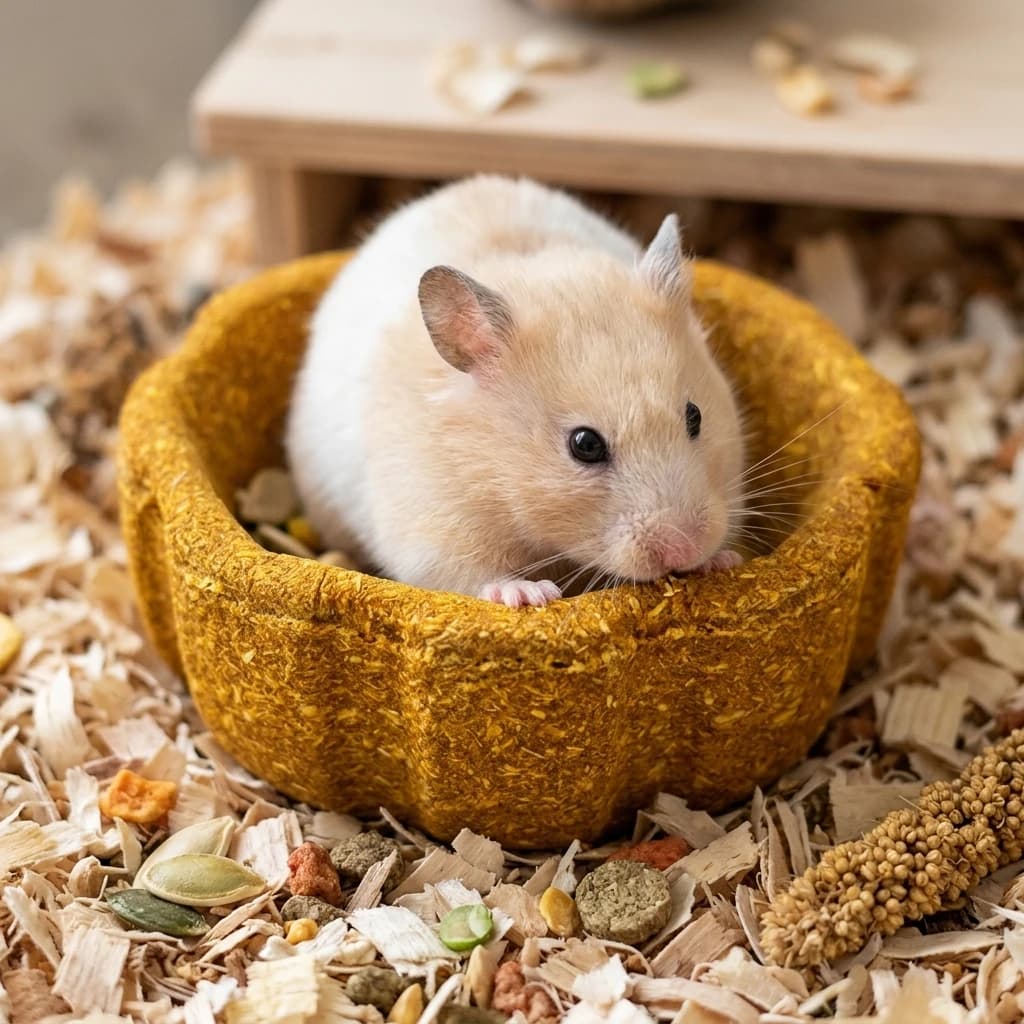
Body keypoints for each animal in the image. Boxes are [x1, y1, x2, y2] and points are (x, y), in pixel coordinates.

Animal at [286, 176, 744, 608]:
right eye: (585, 445)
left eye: (695, 416)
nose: (685, 550)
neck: (495, 471)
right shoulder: (432, 527)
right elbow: (473, 574)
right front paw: (531, 594)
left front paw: (722, 561)